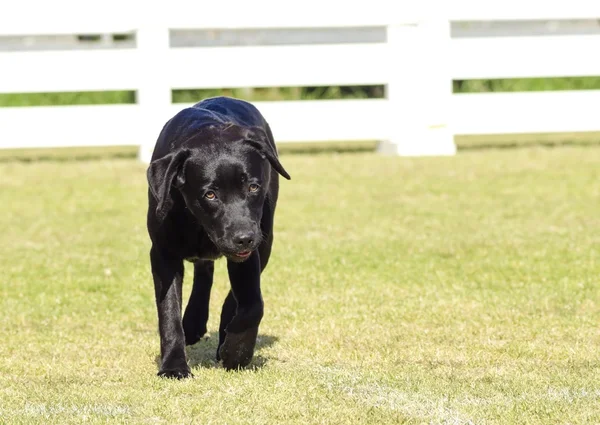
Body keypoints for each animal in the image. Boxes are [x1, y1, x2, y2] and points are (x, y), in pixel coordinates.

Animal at [145, 97, 290, 378]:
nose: (243, 237)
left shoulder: (252, 251)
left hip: (265, 241)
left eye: (253, 187)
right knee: (204, 272)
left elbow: (252, 304)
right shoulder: (162, 253)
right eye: (210, 194)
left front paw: (236, 352)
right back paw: (193, 323)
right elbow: (168, 312)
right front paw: (173, 367)